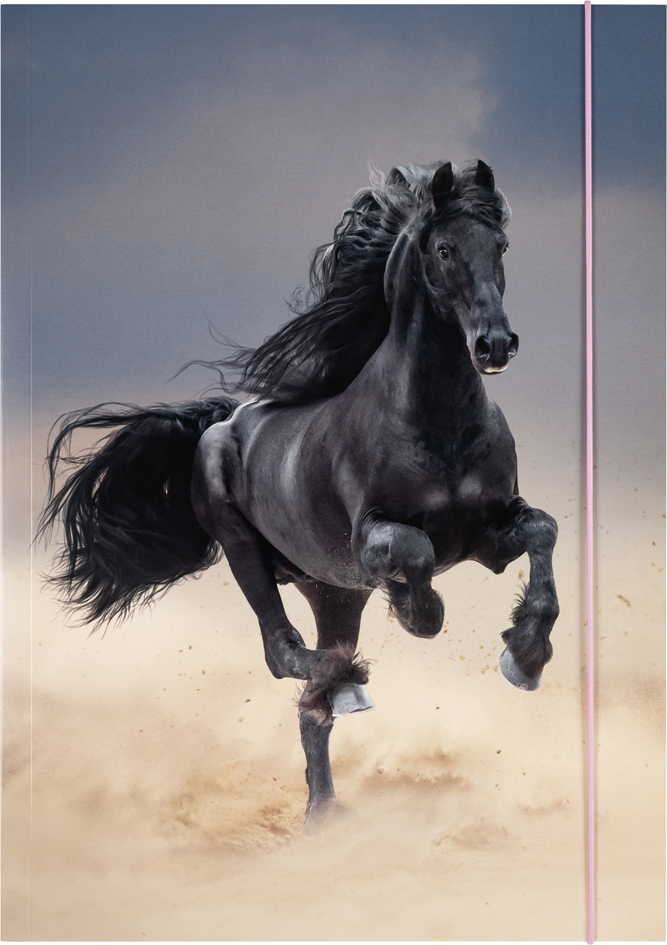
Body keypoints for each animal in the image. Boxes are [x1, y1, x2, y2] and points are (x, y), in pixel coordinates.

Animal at [40, 160, 559, 834]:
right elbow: (415, 558)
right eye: (444, 248)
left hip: (332, 592)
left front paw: (525, 656)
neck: (437, 423)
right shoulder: (371, 540)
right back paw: (347, 687)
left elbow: (543, 530)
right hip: (249, 557)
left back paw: (324, 811)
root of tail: (221, 424)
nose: (494, 345)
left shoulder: (489, 535)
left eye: (500, 246)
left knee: (312, 706)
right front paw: (416, 609)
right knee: (285, 653)